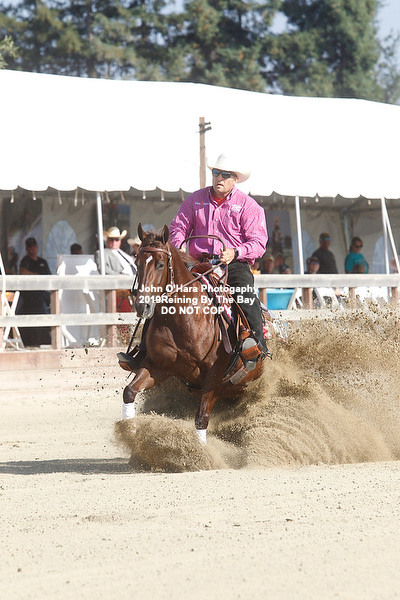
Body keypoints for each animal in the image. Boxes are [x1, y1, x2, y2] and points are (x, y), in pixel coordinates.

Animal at [121, 224, 265, 444]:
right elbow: (129, 391)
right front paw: (129, 433)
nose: (142, 306)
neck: (183, 320)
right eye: (137, 262)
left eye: (160, 264)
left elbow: (201, 418)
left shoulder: (213, 376)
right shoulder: (157, 366)